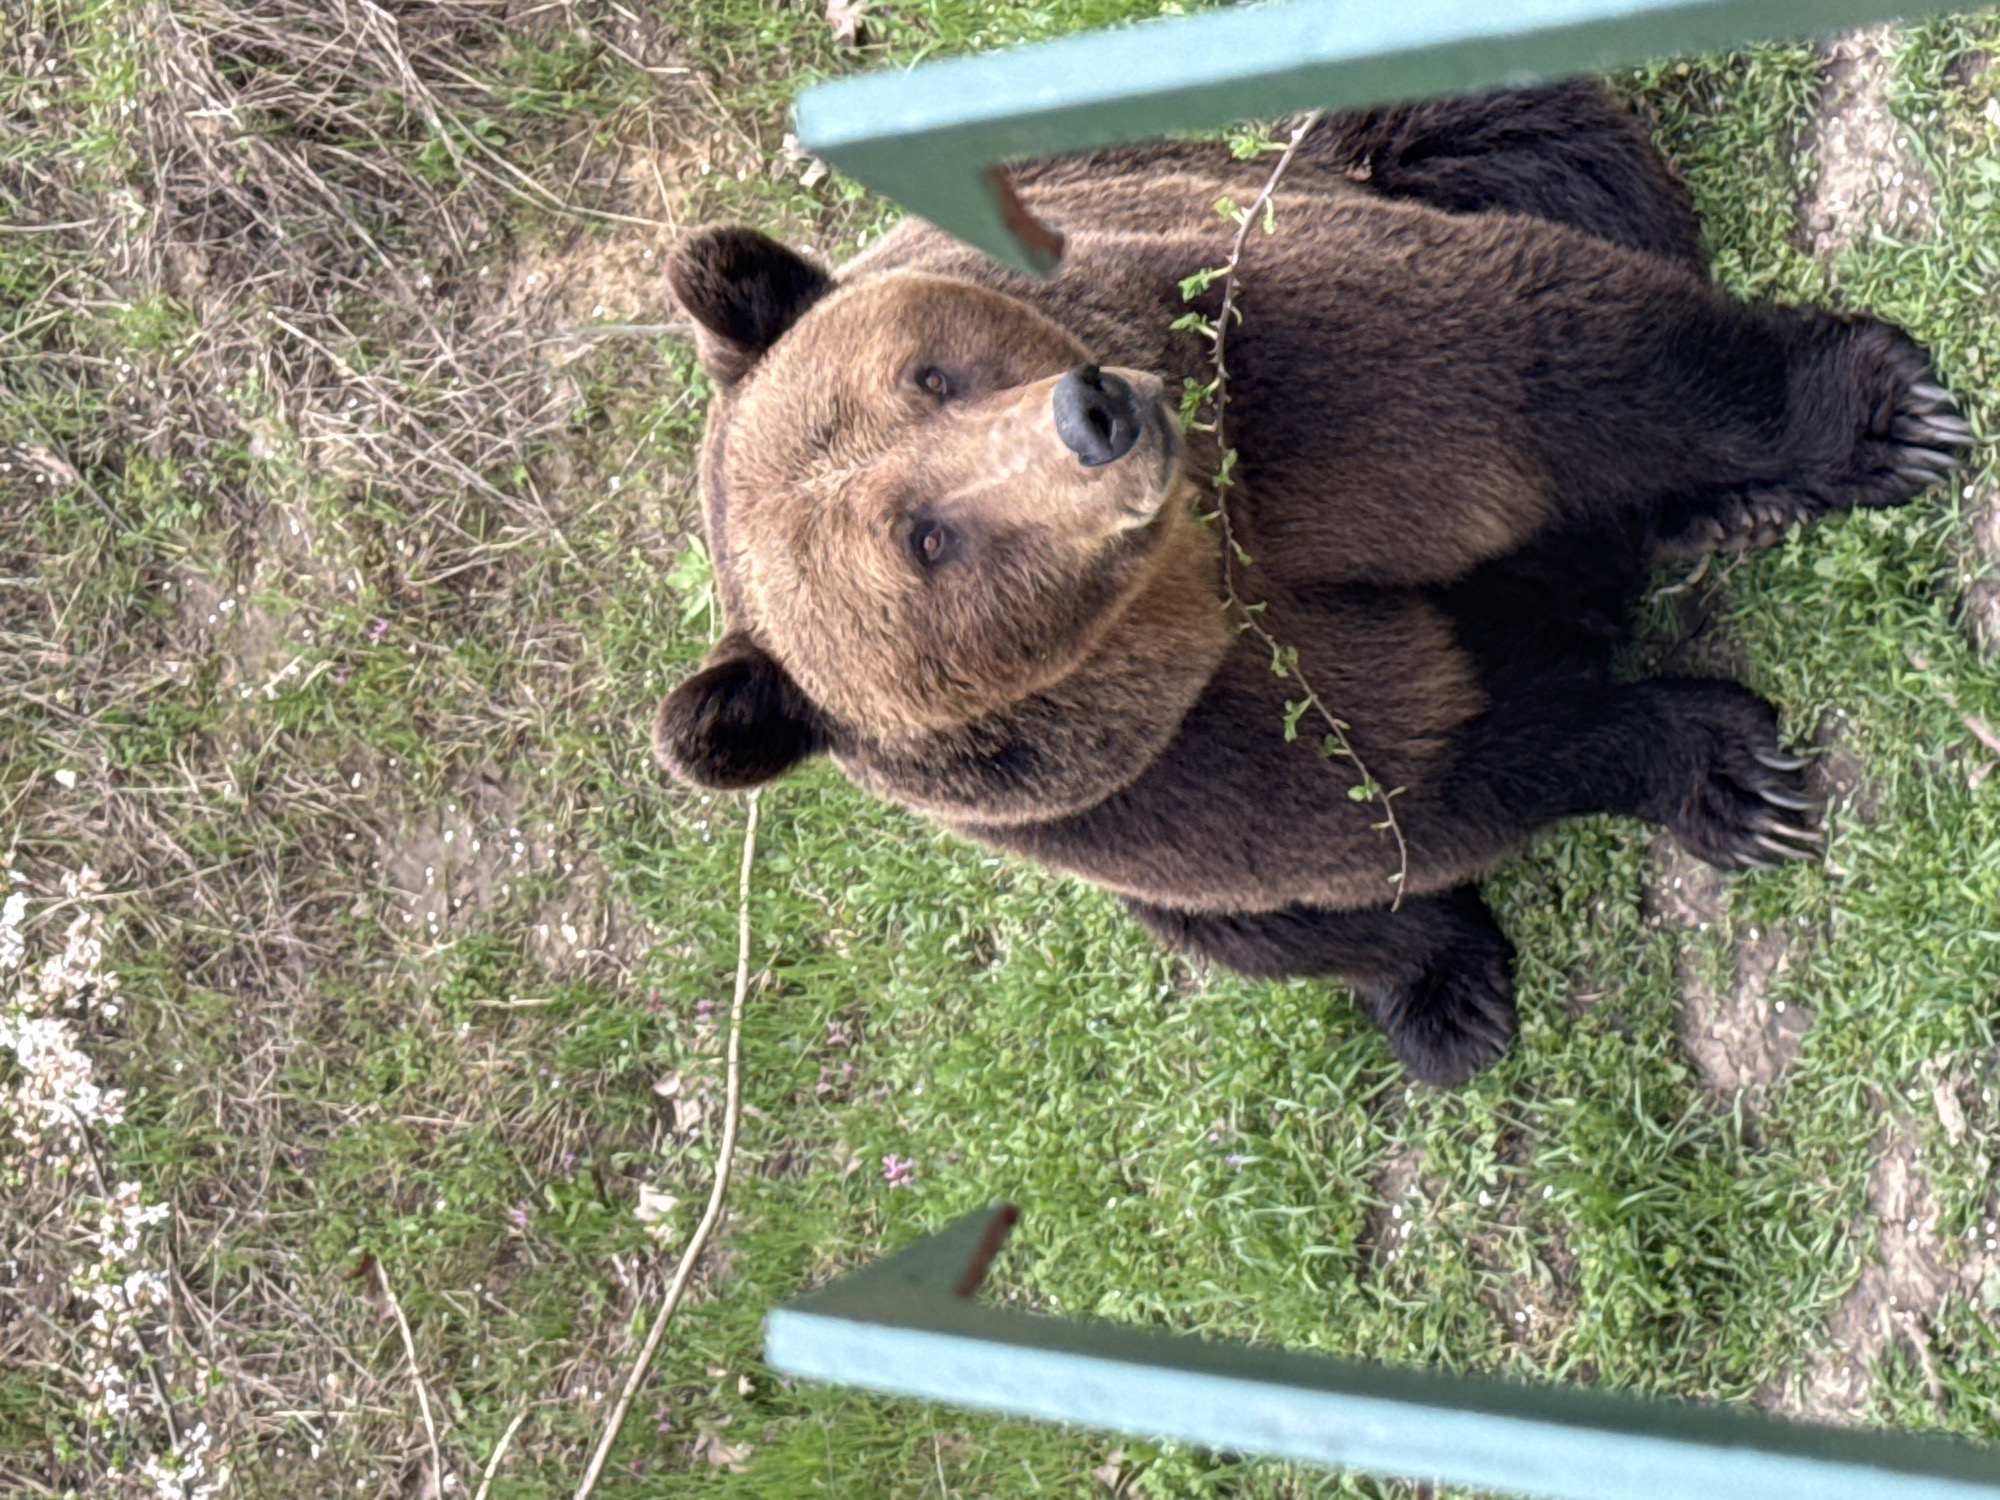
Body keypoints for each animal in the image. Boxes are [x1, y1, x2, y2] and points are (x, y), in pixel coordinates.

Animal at [654, 81, 1969, 1087]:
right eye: (923, 540)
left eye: (930, 374)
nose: (1093, 415)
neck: (1203, 562)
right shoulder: (1169, 761)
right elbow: (1418, 790)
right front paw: (1726, 774)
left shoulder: (1259, 354)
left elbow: (1538, 349)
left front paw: (1878, 419)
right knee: (1268, 929)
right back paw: (1444, 1000)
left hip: (1331, 153)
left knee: (1540, 149)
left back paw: (1709, 506)